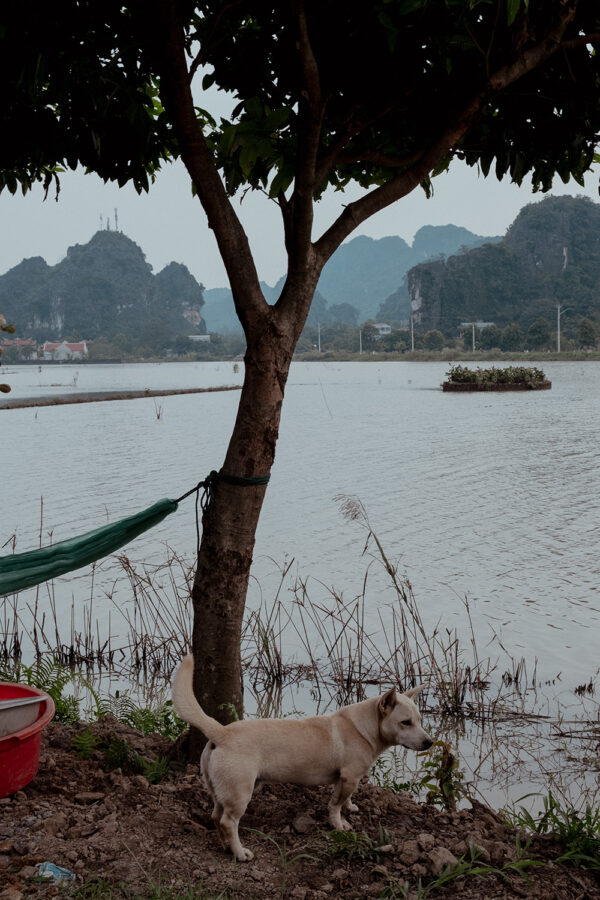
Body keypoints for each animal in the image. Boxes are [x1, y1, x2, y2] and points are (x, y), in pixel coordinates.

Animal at [172, 652, 432, 856]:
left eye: (420, 720)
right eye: (405, 722)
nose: (429, 742)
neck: (363, 727)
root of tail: (222, 732)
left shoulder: (347, 779)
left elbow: (346, 798)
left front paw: (351, 807)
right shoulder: (348, 777)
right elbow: (335, 805)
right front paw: (339, 824)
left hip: (221, 791)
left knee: (216, 817)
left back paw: (226, 847)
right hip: (240, 793)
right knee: (228, 822)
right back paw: (240, 852)